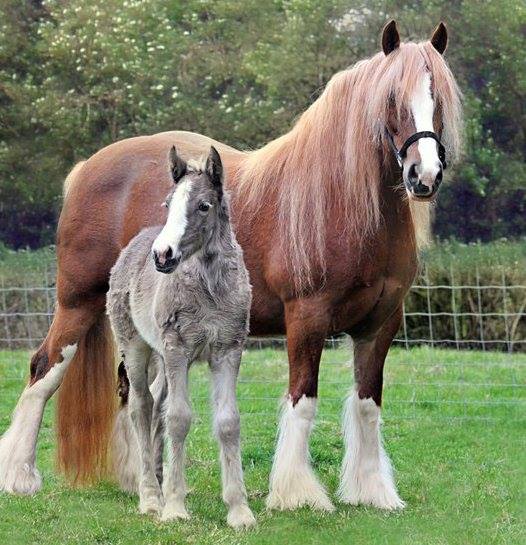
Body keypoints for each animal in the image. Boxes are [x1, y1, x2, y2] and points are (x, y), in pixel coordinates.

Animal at [106, 144, 256, 528]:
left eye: (203, 205)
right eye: (168, 203)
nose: (163, 255)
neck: (210, 288)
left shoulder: (228, 350)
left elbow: (228, 422)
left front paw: (239, 509)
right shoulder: (177, 350)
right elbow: (179, 418)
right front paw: (174, 506)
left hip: (162, 356)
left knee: (157, 404)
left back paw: (159, 483)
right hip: (137, 348)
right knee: (142, 406)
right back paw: (150, 497)